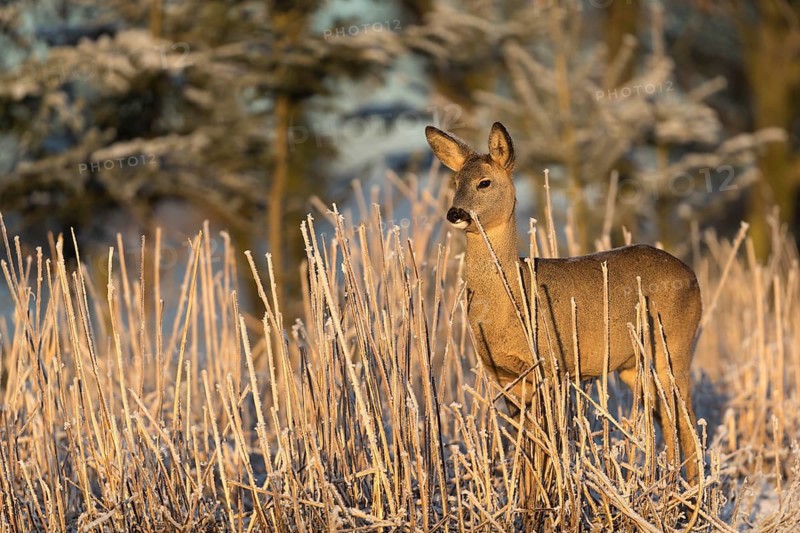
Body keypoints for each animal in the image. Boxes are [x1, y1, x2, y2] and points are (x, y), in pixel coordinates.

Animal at [425, 122, 702, 484]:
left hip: (675, 346)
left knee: (687, 419)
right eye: (455, 182)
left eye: (484, 182)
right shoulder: (503, 374)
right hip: (633, 365)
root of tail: (692, 276)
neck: (510, 300)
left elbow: (549, 443)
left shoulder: (550, 364)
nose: (455, 213)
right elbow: (525, 445)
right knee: (668, 418)